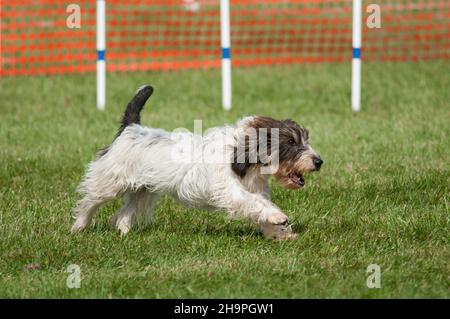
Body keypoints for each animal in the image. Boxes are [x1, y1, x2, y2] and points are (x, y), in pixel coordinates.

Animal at [71, 85, 324, 240]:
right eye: (290, 142)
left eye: (305, 138)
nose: (319, 161)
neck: (242, 156)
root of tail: (131, 128)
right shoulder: (231, 191)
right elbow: (253, 204)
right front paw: (278, 218)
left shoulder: (256, 190)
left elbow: (260, 206)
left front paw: (280, 233)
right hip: (110, 182)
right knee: (89, 201)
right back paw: (79, 227)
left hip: (142, 191)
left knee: (123, 214)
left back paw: (124, 233)